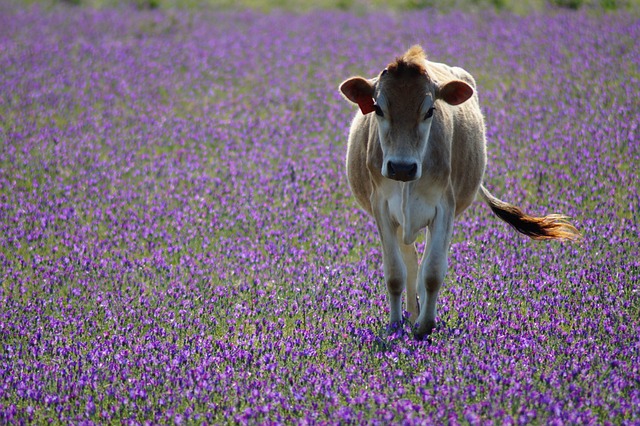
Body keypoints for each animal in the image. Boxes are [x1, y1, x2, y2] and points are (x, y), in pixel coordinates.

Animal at [340, 45, 580, 340]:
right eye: (378, 108)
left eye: (430, 110)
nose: (402, 167)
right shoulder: (382, 208)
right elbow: (395, 273)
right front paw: (395, 326)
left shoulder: (444, 207)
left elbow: (432, 271)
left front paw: (425, 326)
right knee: (410, 262)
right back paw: (410, 312)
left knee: (422, 264)